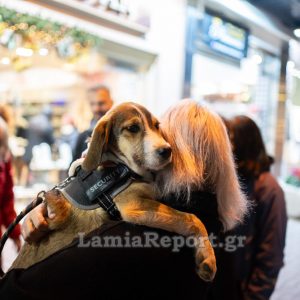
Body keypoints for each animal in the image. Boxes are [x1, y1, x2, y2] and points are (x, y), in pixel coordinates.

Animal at [11, 102, 217, 282]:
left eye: (156, 126)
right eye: (133, 128)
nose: (167, 150)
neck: (121, 167)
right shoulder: (134, 205)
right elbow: (191, 218)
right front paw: (208, 258)